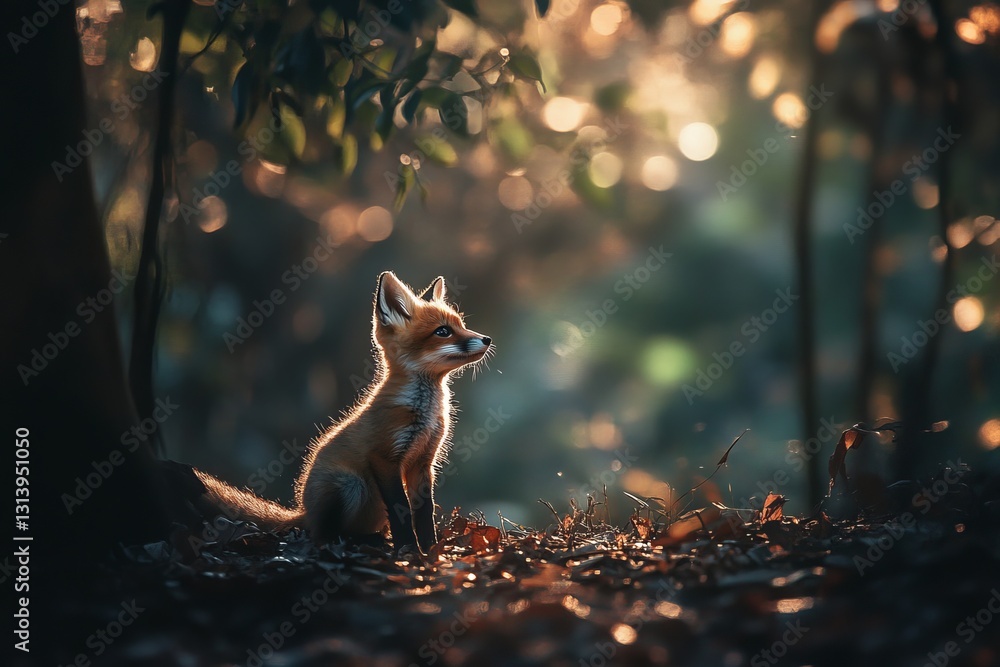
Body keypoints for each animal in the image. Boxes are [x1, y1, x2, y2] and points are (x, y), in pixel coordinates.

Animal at [193, 271, 493, 554]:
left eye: (461, 325)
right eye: (443, 331)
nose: (487, 339)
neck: (424, 412)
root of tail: (305, 512)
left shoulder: (423, 462)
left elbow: (424, 512)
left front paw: (431, 550)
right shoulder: (384, 458)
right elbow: (402, 510)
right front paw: (409, 550)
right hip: (350, 484)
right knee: (321, 535)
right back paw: (350, 542)